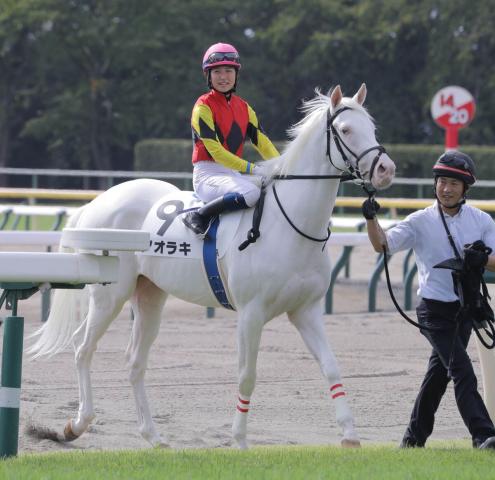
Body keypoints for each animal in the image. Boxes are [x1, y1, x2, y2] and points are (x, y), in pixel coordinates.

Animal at [30, 84, 396, 448]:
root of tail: (97, 202)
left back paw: (153, 436)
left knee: (135, 361)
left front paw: (350, 435)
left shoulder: (306, 310)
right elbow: (247, 376)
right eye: (345, 130)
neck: (290, 226)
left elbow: (331, 366)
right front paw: (240, 440)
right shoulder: (251, 313)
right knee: (82, 347)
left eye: (372, 127)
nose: (386, 169)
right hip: (111, 295)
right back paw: (77, 424)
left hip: (150, 296)